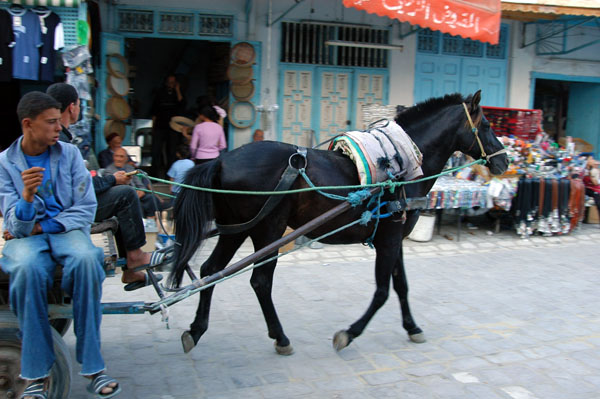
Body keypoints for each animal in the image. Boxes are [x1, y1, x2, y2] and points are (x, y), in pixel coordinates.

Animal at [171, 92, 508, 354]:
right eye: (487, 125)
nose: (504, 160)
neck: (404, 163)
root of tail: (221, 160)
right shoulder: (389, 238)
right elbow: (383, 291)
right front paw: (349, 333)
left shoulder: (394, 236)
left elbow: (401, 286)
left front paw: (412, 327)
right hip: (268, 230)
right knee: (260, 281)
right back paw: (280, 337)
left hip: (236, 228)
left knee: (210, 271)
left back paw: (196, 329)